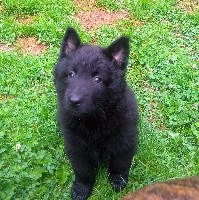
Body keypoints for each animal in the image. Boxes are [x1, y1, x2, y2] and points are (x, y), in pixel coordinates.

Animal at [53, 27, 139, 200]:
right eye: (71, 74)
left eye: (98, 79)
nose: (73, 101)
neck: (93, 120)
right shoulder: (77, 147)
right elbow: (83, 171)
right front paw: (82, 189)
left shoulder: (125, 142)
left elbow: (120, 164)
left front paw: (117, 181)